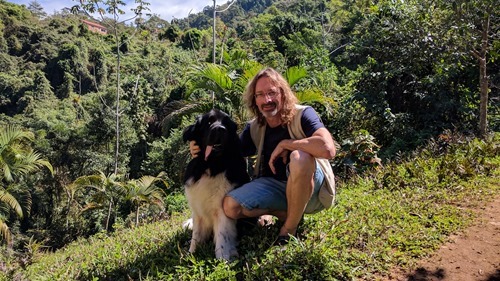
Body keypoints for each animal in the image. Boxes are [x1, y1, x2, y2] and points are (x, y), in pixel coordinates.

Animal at [182, 108, 250, 260]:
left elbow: (222, 236)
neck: (211, 165)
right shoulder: (198, 209)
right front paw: (192, 253)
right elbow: (196, 235)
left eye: (226, 124)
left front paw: (223, 259)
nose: (220, 129)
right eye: (209, 122)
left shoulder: (222, 210)